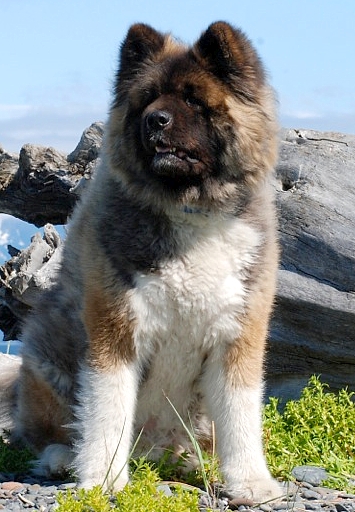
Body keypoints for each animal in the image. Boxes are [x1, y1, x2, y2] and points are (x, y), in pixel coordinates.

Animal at [2, 22, 280, 502]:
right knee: (45, 433)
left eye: (192, 99)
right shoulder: (115, 331)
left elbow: (240, 416)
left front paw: (250, 482)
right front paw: (101, 479)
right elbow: (106, 410)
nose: (156, 120)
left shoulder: (238, 336)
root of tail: (150, 448)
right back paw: (62, 458)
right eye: (148, 99)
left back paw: (187, 460)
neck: (190, 208)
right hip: (47, 360)